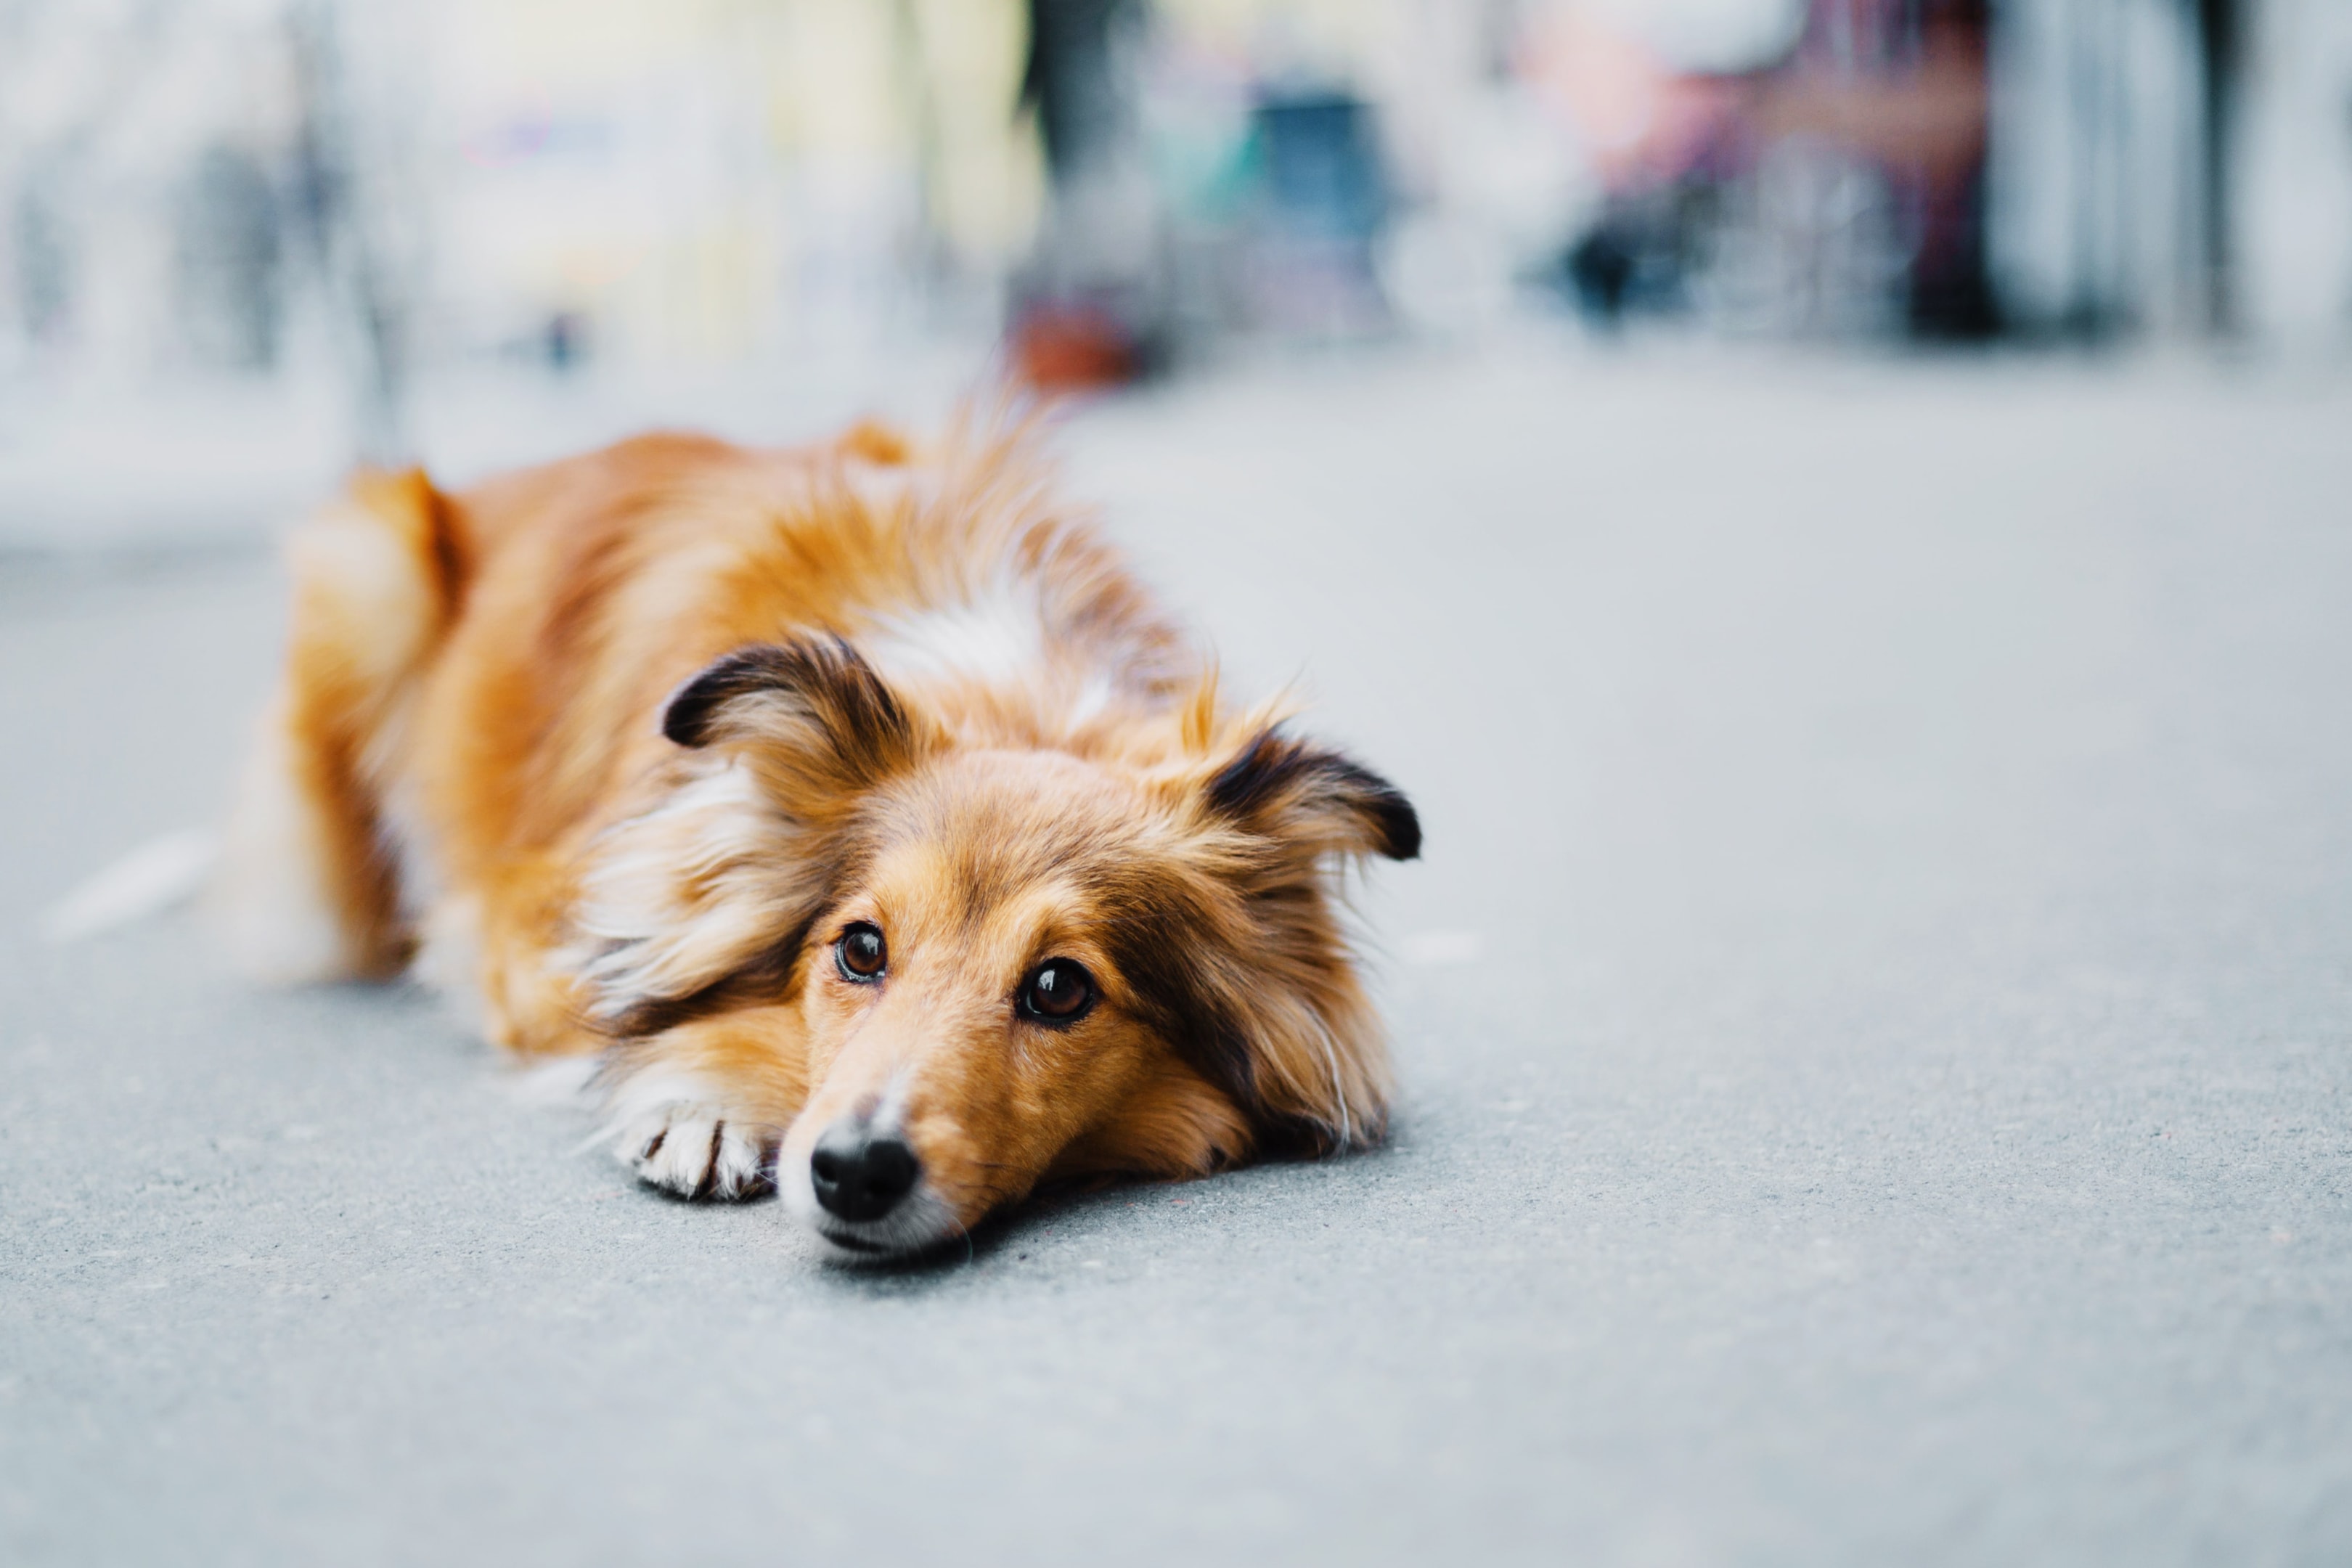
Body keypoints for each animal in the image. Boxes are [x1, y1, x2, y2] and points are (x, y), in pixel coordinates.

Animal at [221, 416, 1420, 1259]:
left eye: (1060, 989)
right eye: (859, 950)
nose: (853, 1174)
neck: (1011, 705)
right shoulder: (526, 922)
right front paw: (700, 1105)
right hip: (367, 578)